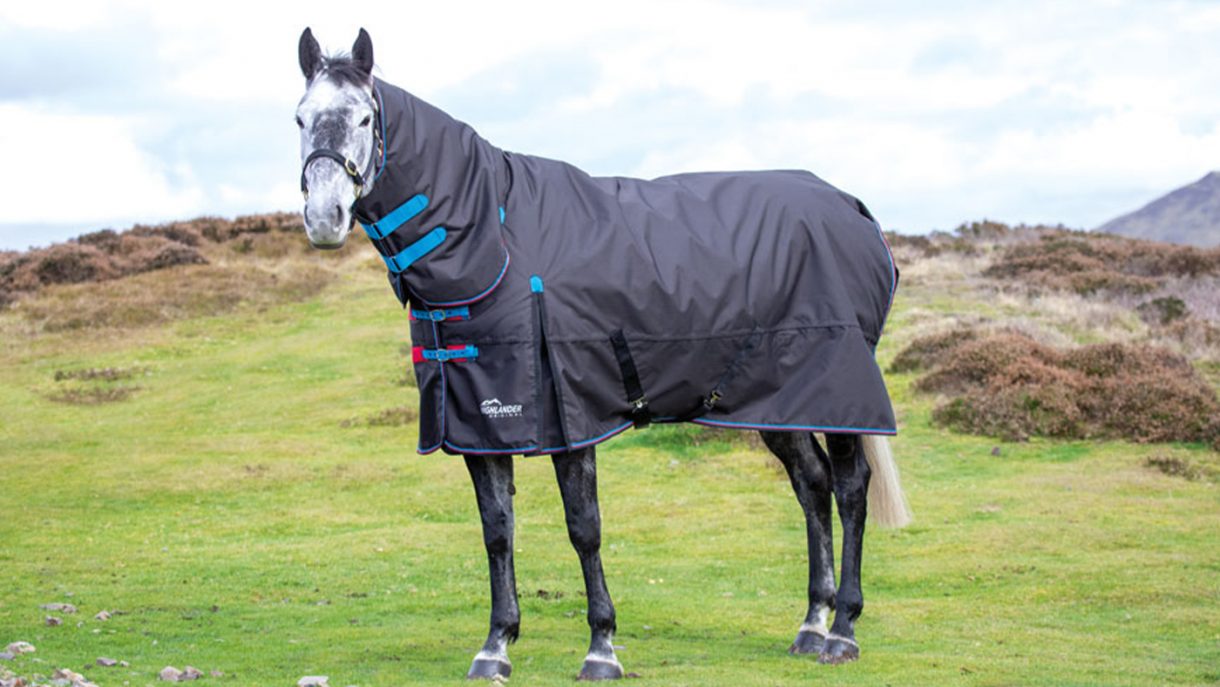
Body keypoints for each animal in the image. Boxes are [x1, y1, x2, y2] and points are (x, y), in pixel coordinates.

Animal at [294, 27, 911, 681]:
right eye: (301, 117)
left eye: (364, 117)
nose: (324, 218)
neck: (495, 242)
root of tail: (852, 207)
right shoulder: (480, 424)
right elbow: (497, 531)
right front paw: (495, 646)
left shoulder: (571, 414)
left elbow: (583, 528)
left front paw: (601, 648)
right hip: (777, 399)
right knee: (812, 484)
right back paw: (812, 624)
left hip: (839, 390)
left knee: (850, 488)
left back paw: (843, 630)